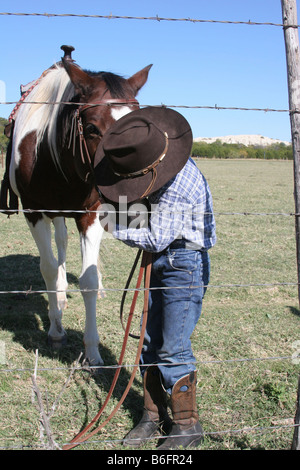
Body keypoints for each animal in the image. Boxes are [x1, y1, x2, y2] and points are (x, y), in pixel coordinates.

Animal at [8, 46, 151, 366]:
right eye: (92, 127)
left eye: (140, 127)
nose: (132, 192)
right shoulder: (34, 213)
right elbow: (48, 268)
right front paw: (55, 330)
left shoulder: (91, 214)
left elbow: (88, 278)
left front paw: (93, 351)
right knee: (58, 248)